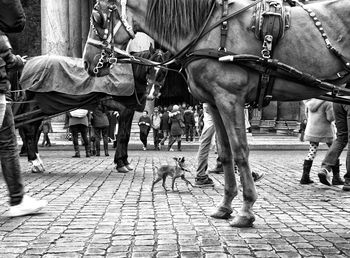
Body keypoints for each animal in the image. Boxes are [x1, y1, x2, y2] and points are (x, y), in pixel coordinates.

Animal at [15, 48, 170, 173]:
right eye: (150, 69)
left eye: (163, 72)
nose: (152, 94)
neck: (129, 76)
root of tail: (27, 63)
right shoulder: (123, 110)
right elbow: (122, 136)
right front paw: (120, 163)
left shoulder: (129, 111)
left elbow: (126, 135)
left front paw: (124, 161)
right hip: (36, 105)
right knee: (29, 128)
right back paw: (35, 161)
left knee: (32, 128)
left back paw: (35, 160)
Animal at [83, 0, 350, 228]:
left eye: (97, 17)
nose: (87, 62)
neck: (209, 29)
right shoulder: (214, 102)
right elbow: (225, 152)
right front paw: (225, 207)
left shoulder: (229, 98)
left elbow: (240, 152)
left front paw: (246, 211)